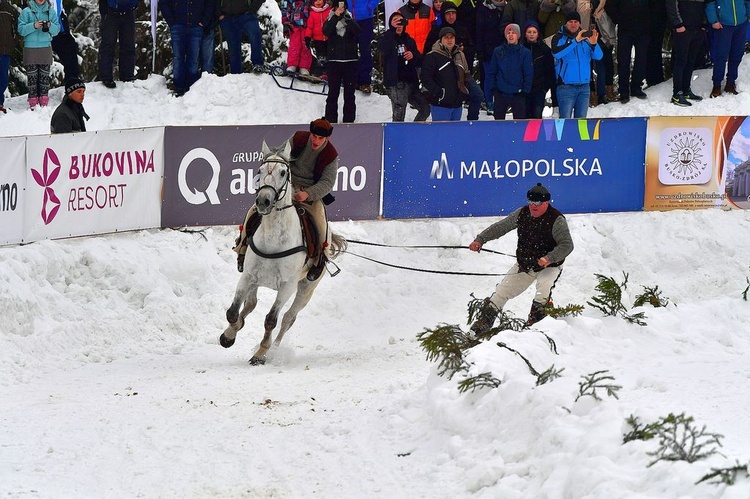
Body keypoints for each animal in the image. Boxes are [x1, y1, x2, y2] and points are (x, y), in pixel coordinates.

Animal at [217, 139, 346, 366]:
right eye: (259, 170)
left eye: (284, 172)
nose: (263, 201)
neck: (273, 238)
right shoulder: (248, 276)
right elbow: (232, 312)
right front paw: (228, 336)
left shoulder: (287, 286)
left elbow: (271, 320)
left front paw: (261, 354)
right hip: (257, 281)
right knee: (251, 304)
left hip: (306, 289)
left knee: (288, 318)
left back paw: (275, 349)